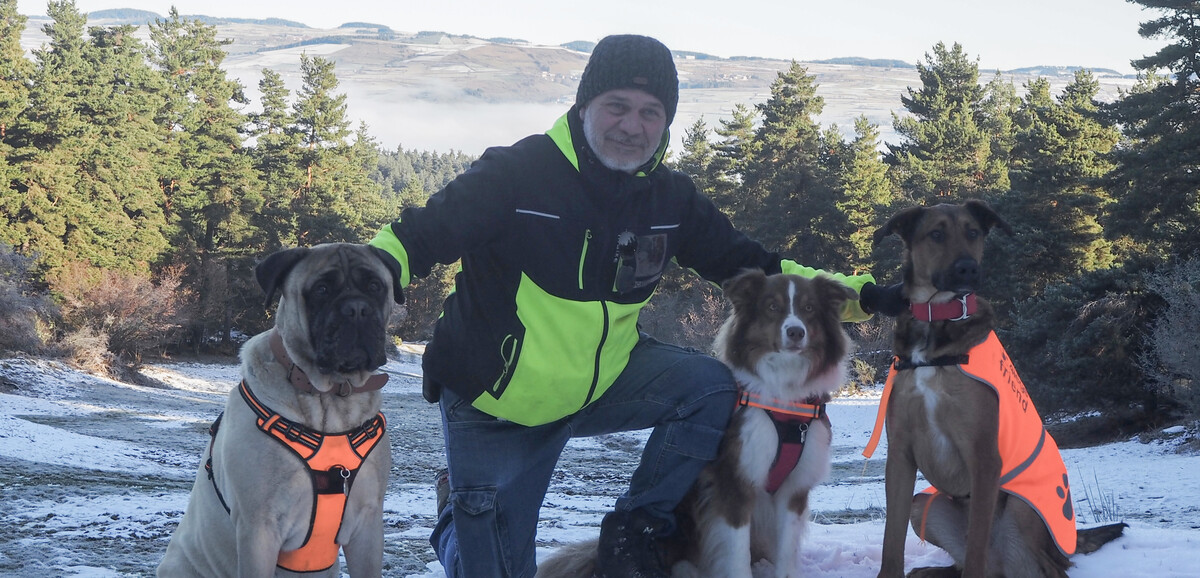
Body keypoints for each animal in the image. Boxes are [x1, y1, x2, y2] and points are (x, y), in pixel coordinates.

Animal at [158, 243, 403, 578]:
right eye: (321, 289)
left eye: (375, 286)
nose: (356, 309)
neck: (329, 398)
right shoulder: (259, 529)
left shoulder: (367, 524)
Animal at [537, 269, 856, 578]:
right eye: (772, 307)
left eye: (809, 308)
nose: (795, 332)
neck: (783, 396)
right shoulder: (733, 483)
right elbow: (736, 554)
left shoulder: (794, 489)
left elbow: (787, 554)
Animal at [866, 201, 1126, 578]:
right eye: (936, 234)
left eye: (973, 232)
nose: (968, 269)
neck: (936, 324)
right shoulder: (900, 454)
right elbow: (891, 541)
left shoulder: (983, 455)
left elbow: (975, 547)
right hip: (924, 504)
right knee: (974, 562)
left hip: (1021, 507)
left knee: (1042, 567)